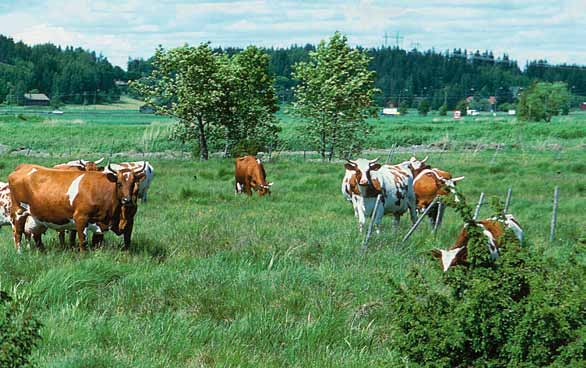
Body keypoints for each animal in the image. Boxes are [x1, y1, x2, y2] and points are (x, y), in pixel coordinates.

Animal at [8, 164, 144, 253]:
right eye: (119, 183)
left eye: (133, 184)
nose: (127, 200)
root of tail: (23, 166)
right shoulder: (81, 218)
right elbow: (83, 241)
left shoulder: (118, 222)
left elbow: (120, 241)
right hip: (19, 212)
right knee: (18, 233)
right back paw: (19, 253)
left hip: (36, 217)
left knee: (36, 236)